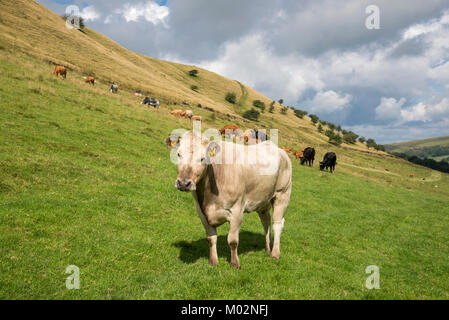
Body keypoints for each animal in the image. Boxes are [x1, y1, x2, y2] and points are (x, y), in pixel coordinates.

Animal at [166, 131, 292, 268]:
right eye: (178, 154)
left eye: (202, 158)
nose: (183, 184)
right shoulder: (201, 211)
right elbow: (211, 238)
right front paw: (213, 261)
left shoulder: (237, 210)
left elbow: (232, 240)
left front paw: (235, 263)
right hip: (263, 198)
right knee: (266, 221)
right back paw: (269, 247)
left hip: (283, 194)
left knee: (277, 224)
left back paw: (275, 253)